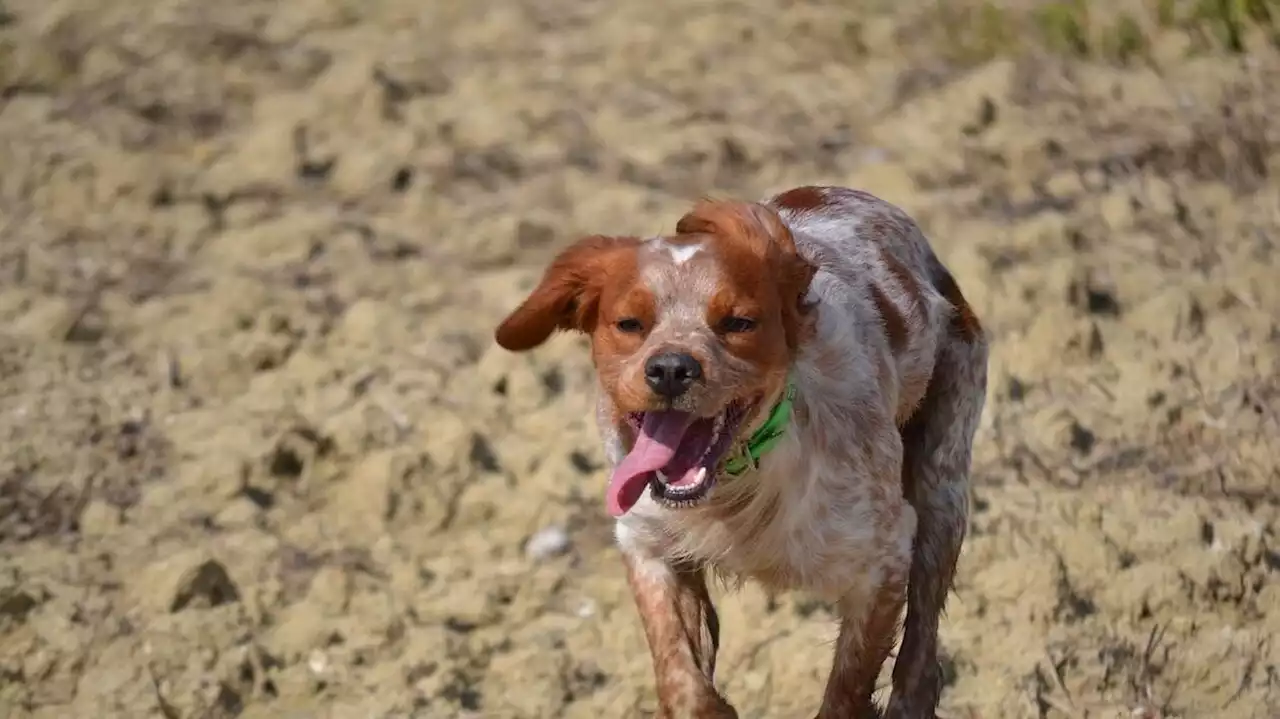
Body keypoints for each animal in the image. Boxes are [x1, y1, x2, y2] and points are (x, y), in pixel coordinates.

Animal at [491, 185, 988, 716]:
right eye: (629, 323)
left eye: (738, 322)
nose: (671, 369)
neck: (736, 483)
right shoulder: (646, 543)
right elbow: (685, 681)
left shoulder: (883, 559)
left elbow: (847, 690)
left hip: (942, 490)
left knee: (920, 659)